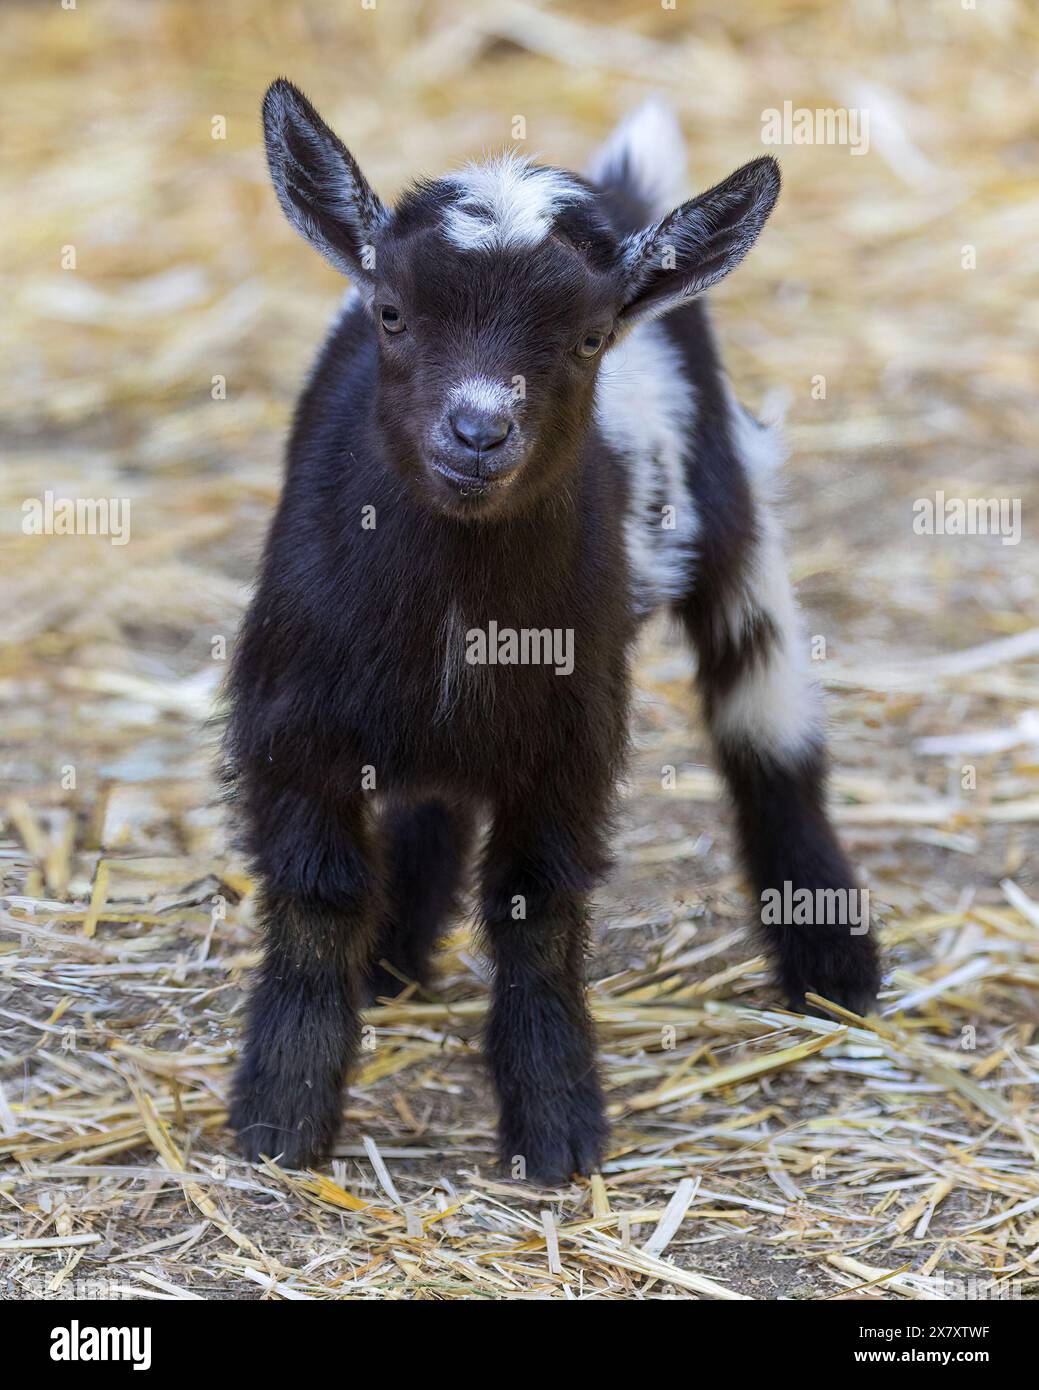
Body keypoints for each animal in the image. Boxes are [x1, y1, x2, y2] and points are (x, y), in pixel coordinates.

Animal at [228, 81, 879, 1178]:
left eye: (586, 337)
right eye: (393, 312)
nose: (478, 433)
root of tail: (627, 189)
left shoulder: (572, 737)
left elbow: (539, 908)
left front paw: (557, 1121)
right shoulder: (290, 720)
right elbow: (318, 897)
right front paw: (282, 1114)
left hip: (732, 506)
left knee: (766, 721)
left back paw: (833, 960)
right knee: (435, 793)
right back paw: (395, 956)